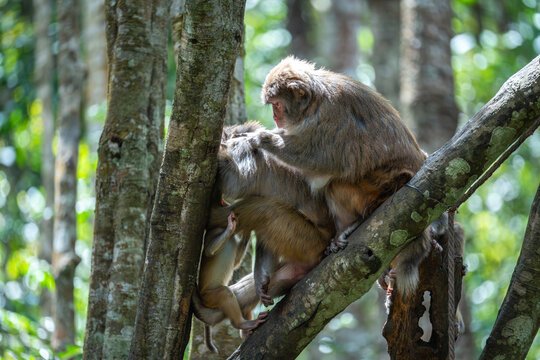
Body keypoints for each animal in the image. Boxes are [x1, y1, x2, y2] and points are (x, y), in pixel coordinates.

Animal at [248, 56, 434, 296]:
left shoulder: (330, 115)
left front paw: (263, 139)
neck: (314, 103)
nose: (274, 117)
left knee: (337, 183)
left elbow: (321, 160)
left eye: (277, 104)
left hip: (379, 186)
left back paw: (355, 222)